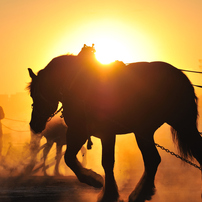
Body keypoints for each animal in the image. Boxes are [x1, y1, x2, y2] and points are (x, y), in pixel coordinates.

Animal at [27, 44, 202, 202]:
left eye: (35, 93)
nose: (34, 124)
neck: (78, 85)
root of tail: (179, 75)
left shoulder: (101, 133)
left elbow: (105, 162)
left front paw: (103, 188)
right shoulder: (79, 131)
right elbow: (70, 157)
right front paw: (96, 181)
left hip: (162, 127)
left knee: (156, 159)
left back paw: (138, 194)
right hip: (160, 128)